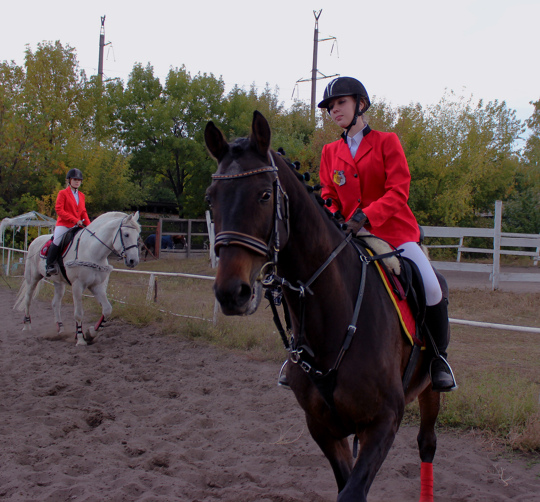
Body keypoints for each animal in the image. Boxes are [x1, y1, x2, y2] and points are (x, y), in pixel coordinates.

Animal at [14, 211, 141, 345]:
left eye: (137, 236)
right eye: (126, 234)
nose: (133, 261)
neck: (92, 251)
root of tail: (35, 240)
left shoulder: (97, 286)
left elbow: (107, 310)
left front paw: (91, 333)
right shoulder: (77, 285)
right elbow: (78, 314)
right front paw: (80, 339)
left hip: (58, 282)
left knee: (55, 303)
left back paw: (61, 329)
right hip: (32, 278)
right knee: (28, 299)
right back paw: (27, 325)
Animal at [204, 111, 445, 502]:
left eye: (265, 194)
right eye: (211, 198)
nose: (231, 293)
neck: (332, 320)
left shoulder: (384, 422)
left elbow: (352, 492)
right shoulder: (322, 427)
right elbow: (345, 487)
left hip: (429, 391)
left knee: (427, 443)